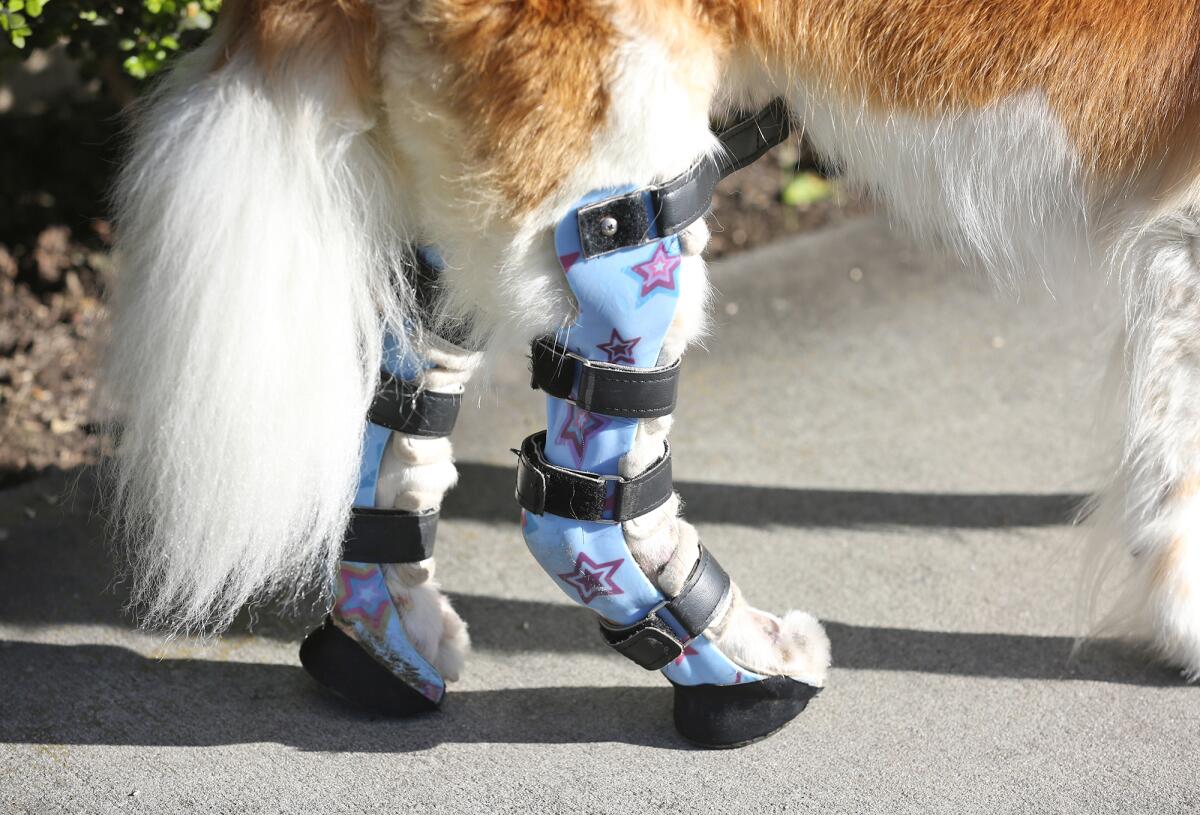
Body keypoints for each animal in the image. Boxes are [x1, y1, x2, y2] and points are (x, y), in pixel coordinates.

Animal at [100, 0, 1200, 739]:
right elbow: (1178, 473)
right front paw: (1185, 628)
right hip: (619, 168)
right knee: (586, 499)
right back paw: (742, 671)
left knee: (407, 413)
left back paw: (389, 647)